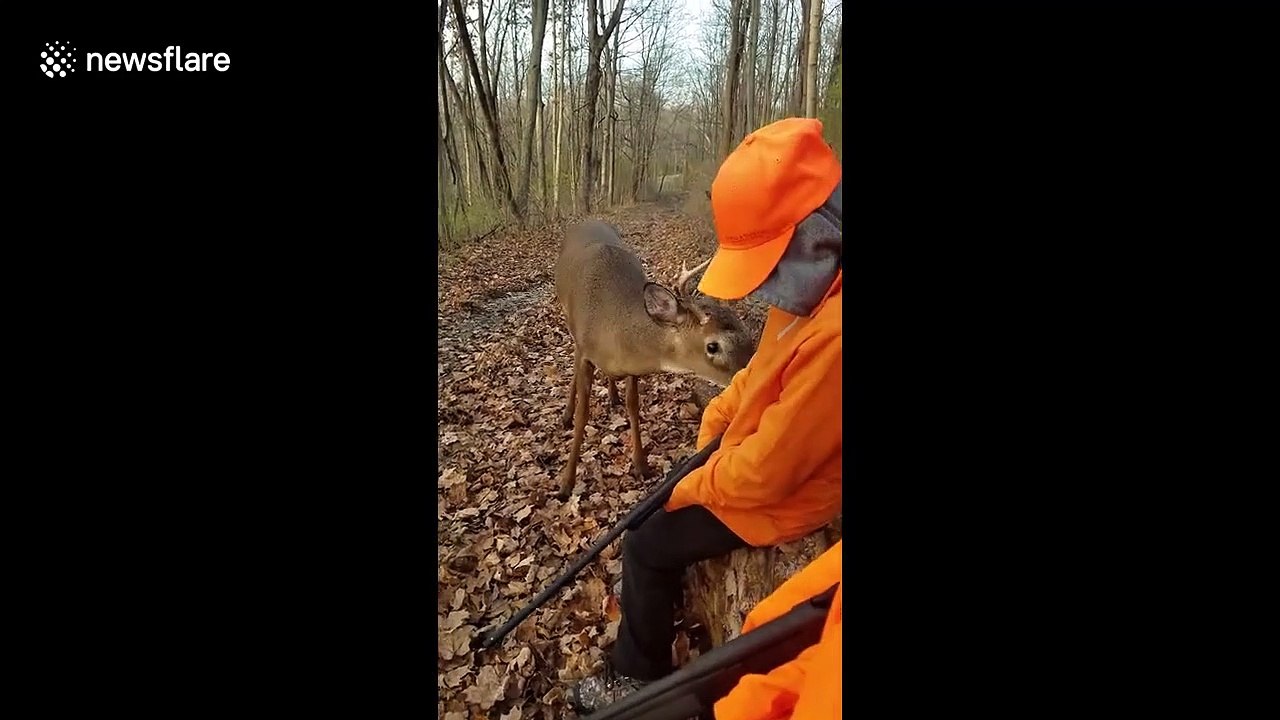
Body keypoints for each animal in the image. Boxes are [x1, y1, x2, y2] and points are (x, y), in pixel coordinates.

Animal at [553, 220, 756, 500]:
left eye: (746, 332)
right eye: (713, 346)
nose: (751, 370)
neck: (612, 327)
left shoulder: (630, 366)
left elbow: (633, 406)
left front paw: (641, 465)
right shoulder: (585, 352)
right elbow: (584, 414)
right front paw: (566, 483)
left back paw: (612, 395)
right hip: (569, 322)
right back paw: (566, 414)